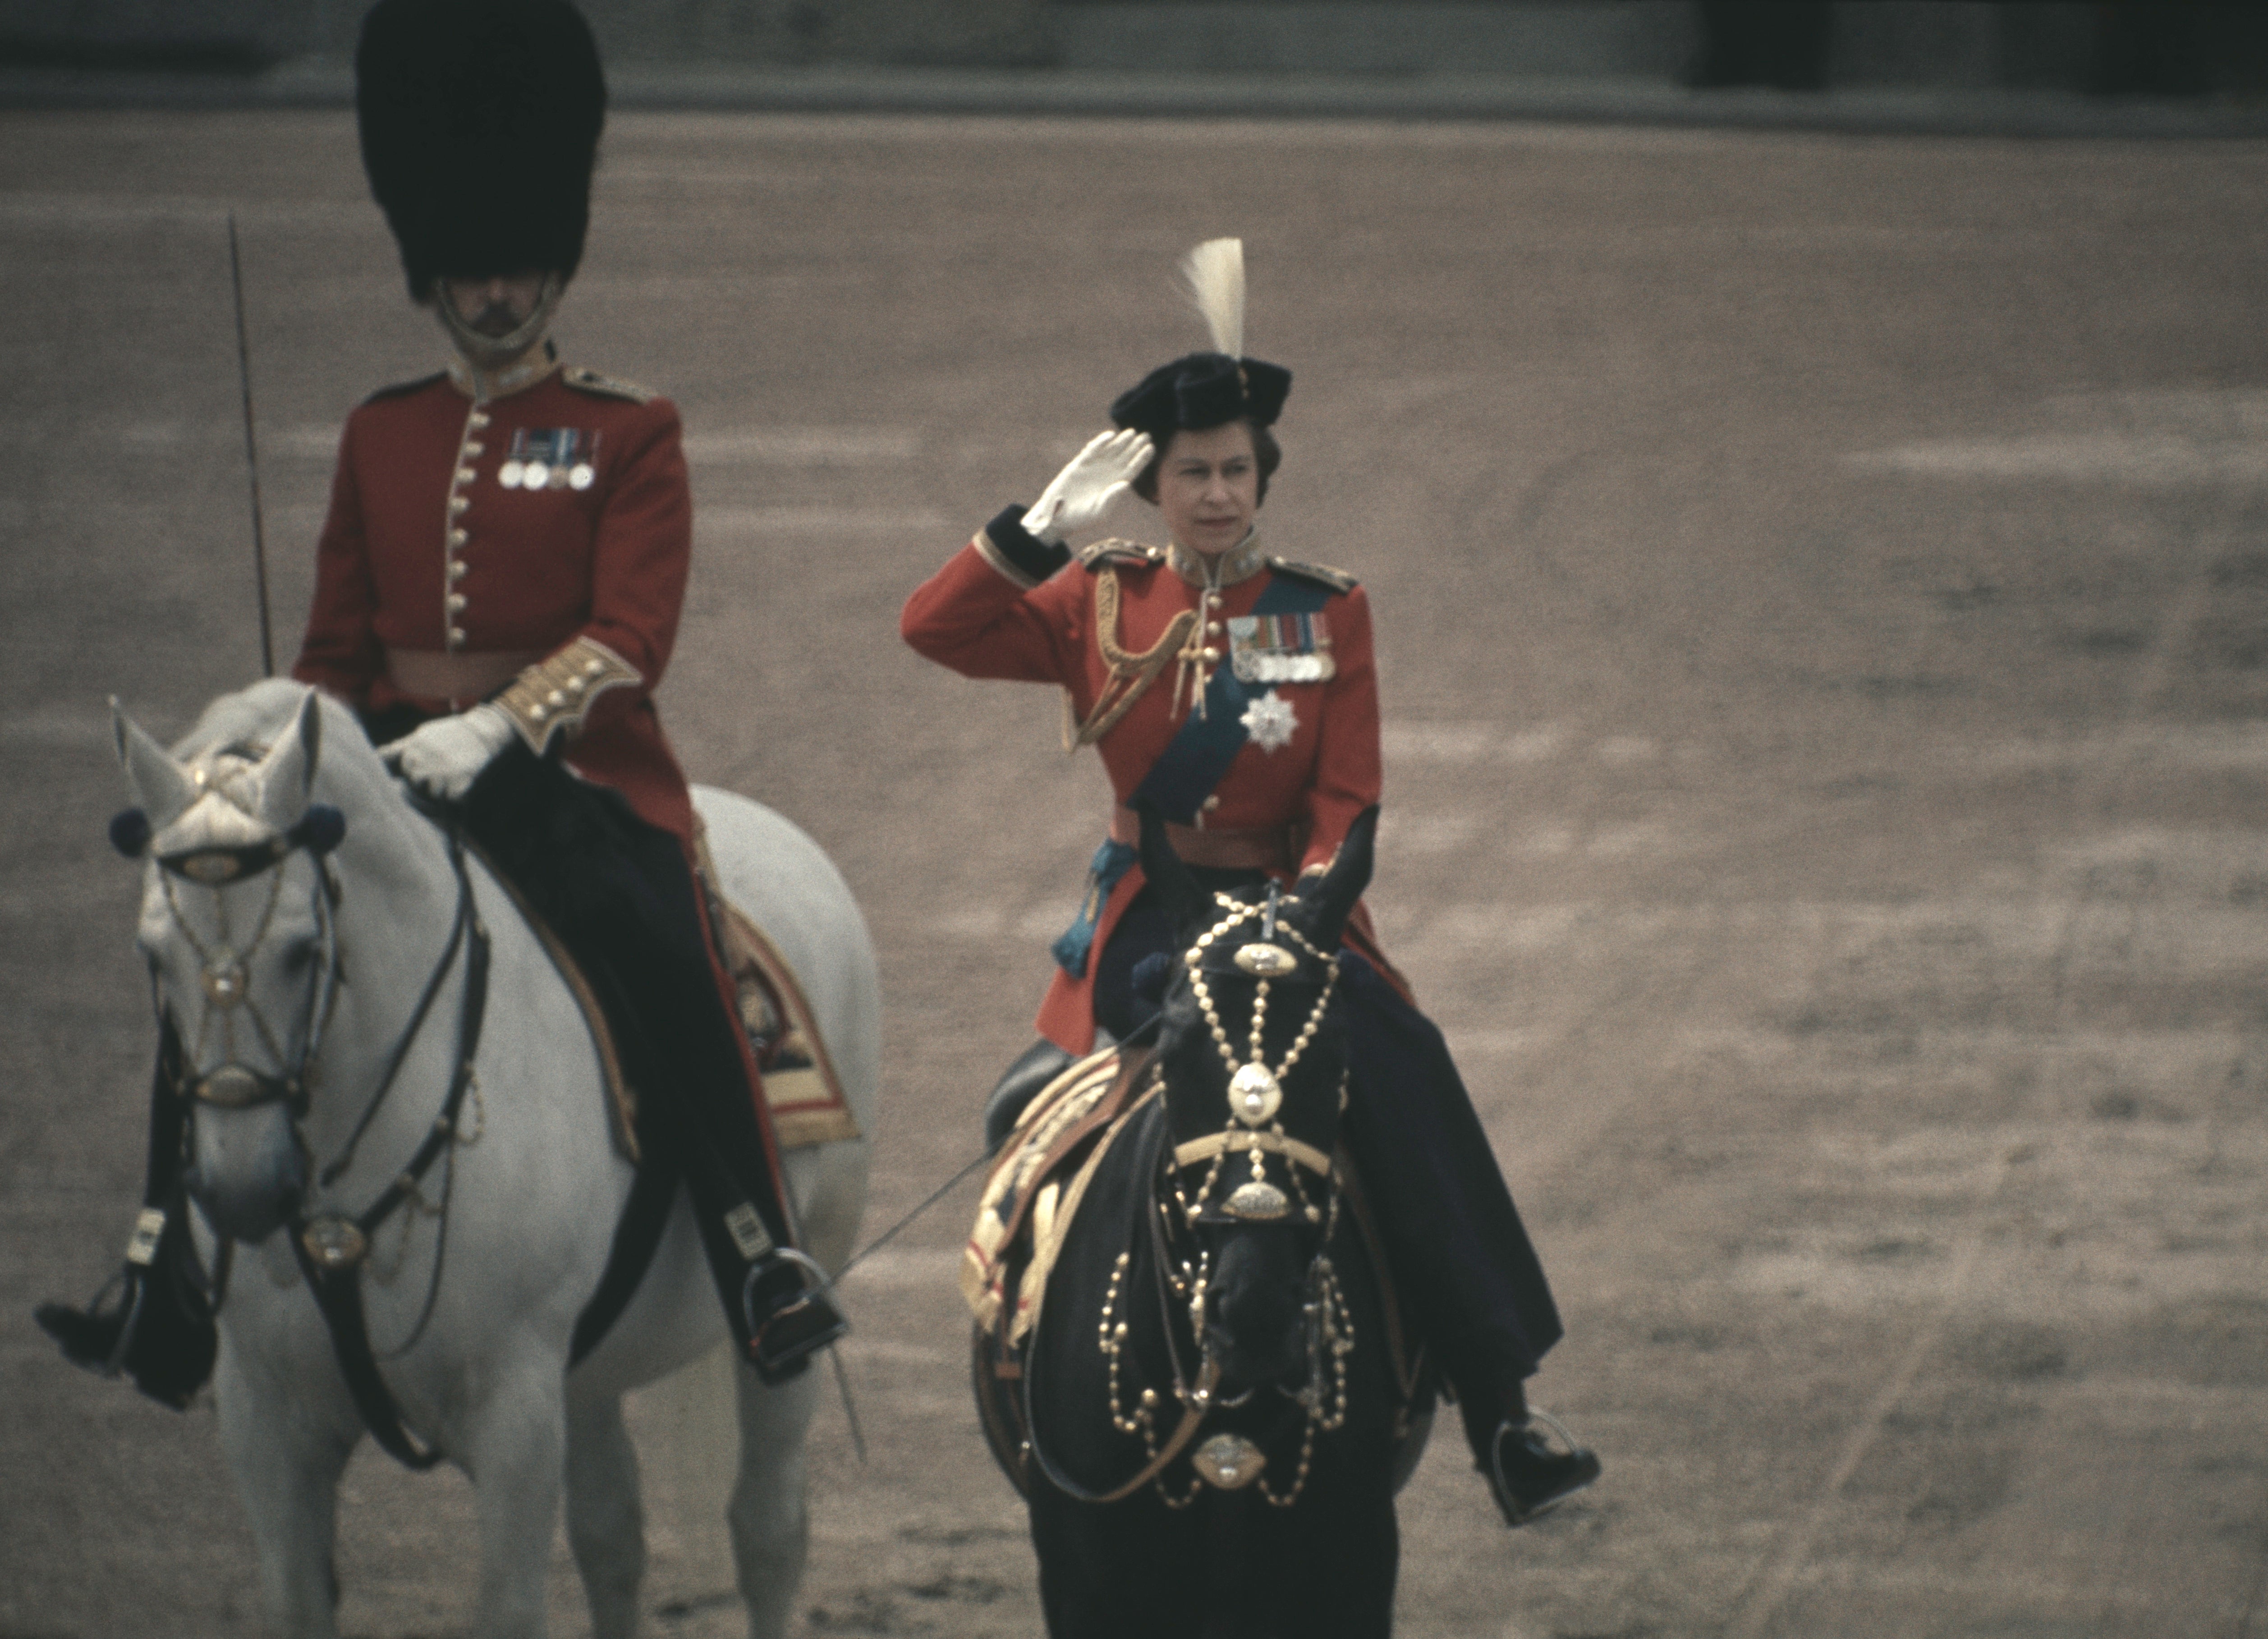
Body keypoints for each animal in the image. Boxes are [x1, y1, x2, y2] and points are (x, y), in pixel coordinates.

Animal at [110, 684, 880, 1639]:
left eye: (300, 950)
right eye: (152, 954)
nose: (241, 1191)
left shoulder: (512, 1415)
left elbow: (511, 1607)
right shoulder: (266, 1414)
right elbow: (297, 1600)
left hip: (802, 1282)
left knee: (767, 1528)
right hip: (586, 1367)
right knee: (612, 1537)